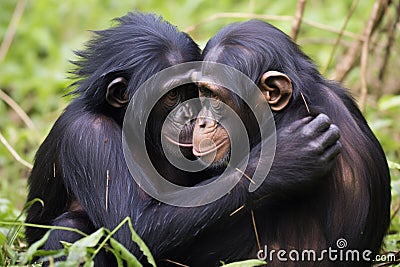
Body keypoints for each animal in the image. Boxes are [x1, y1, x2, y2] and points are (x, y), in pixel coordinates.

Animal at [25, 12, 340, 266]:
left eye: (192, 91)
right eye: (173, 94)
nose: (192, 116)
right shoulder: (89, 135)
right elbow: (131, 229)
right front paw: (286, 158)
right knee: (70, 229)